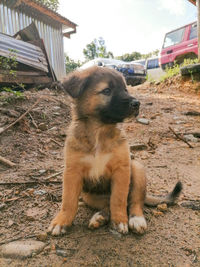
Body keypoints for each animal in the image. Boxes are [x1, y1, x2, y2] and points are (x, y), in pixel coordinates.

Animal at [47, 66, 182, 237]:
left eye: (125, 89)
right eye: (107, 90)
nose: (137, 103)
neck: (99, 131)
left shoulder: (121, 169)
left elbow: (118, 199)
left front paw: (119, 221)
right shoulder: (72, 171)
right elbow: (68, 201)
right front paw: (61, 221)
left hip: (137, 169)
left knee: (134, 202)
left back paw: (136, 219)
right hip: (90, 196)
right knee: (107, 204)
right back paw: (100, 217)